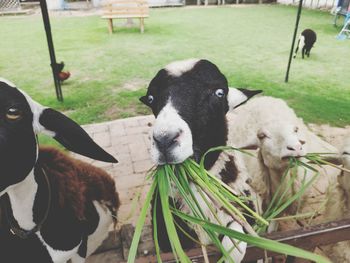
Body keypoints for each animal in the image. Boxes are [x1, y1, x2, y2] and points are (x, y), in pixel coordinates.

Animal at [140, 58, 262, 262]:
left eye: (219, 93)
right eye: (151, 99)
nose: (164, 140)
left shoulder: (244, 208)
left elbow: (235, 241)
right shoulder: (168, 236)